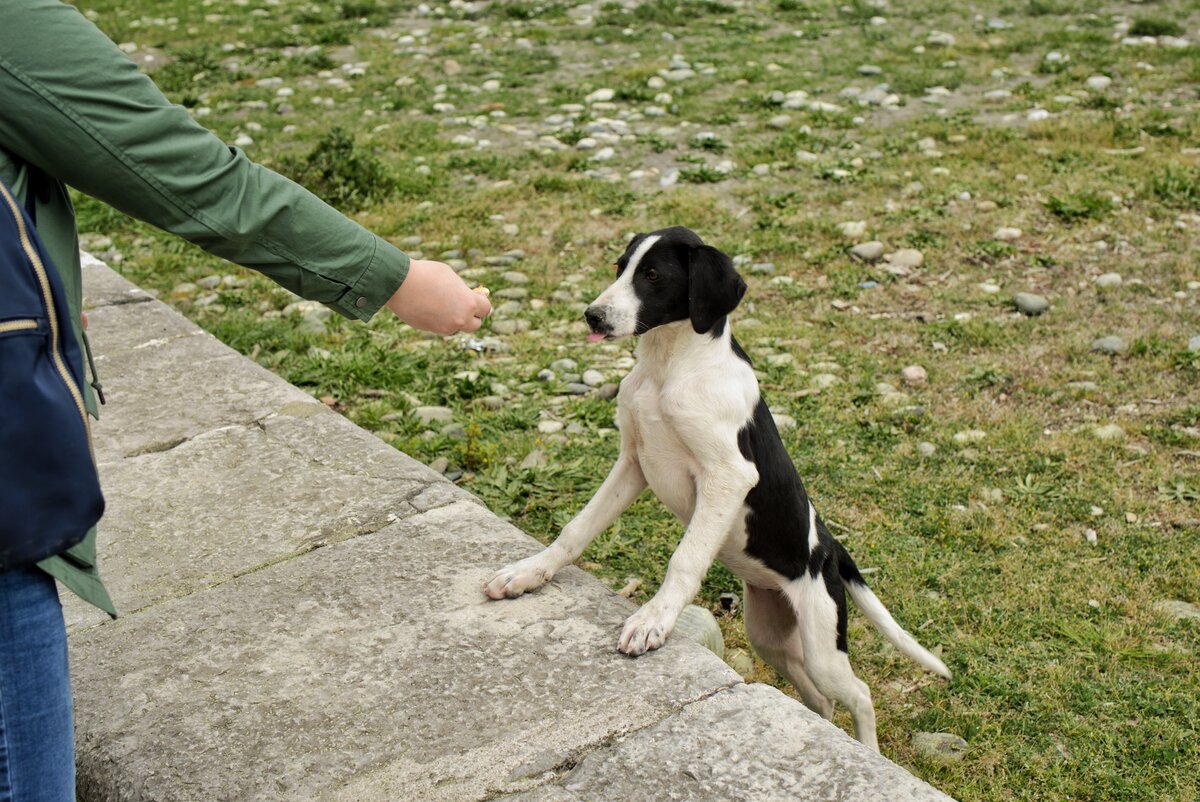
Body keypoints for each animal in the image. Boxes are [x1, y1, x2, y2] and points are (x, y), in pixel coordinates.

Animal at [482, 226, 950, 753]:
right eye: (620, 266)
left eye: (653, 275)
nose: (593, 315)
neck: (669, 368)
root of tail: (830, 547)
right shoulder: (632, 464)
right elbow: (575, 530)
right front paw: (529, 573)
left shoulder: (728, 475)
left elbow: (684, 559)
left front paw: (654, 619)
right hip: (771, 635)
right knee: (822, 700)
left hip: (822, 644)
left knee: (860, 694)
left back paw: (866, 750)